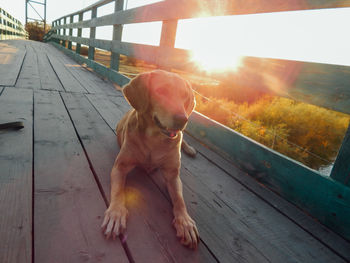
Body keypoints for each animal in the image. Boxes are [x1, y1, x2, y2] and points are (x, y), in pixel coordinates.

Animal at [101, 69, 200, 250]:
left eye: (184, 95)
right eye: (161, 91)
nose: (182, 119)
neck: (154, 138)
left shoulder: (173, 175)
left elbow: (179, 200)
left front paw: (185, 222)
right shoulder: (120, 167)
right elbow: (118, 191)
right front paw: (116, 213)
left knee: (183, 138)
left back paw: (190, 148)